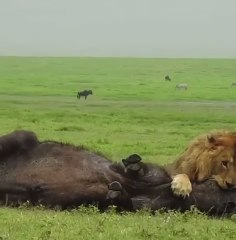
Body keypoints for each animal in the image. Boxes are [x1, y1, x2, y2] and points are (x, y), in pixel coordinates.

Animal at [0, 130, 236, 217]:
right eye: (225, 163)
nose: (231, 187)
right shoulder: (152, 174)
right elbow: (139, 170)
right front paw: (133, 165)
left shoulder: (140, 205)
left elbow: (121, 201)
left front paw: (115, 192)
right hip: (22, 135)